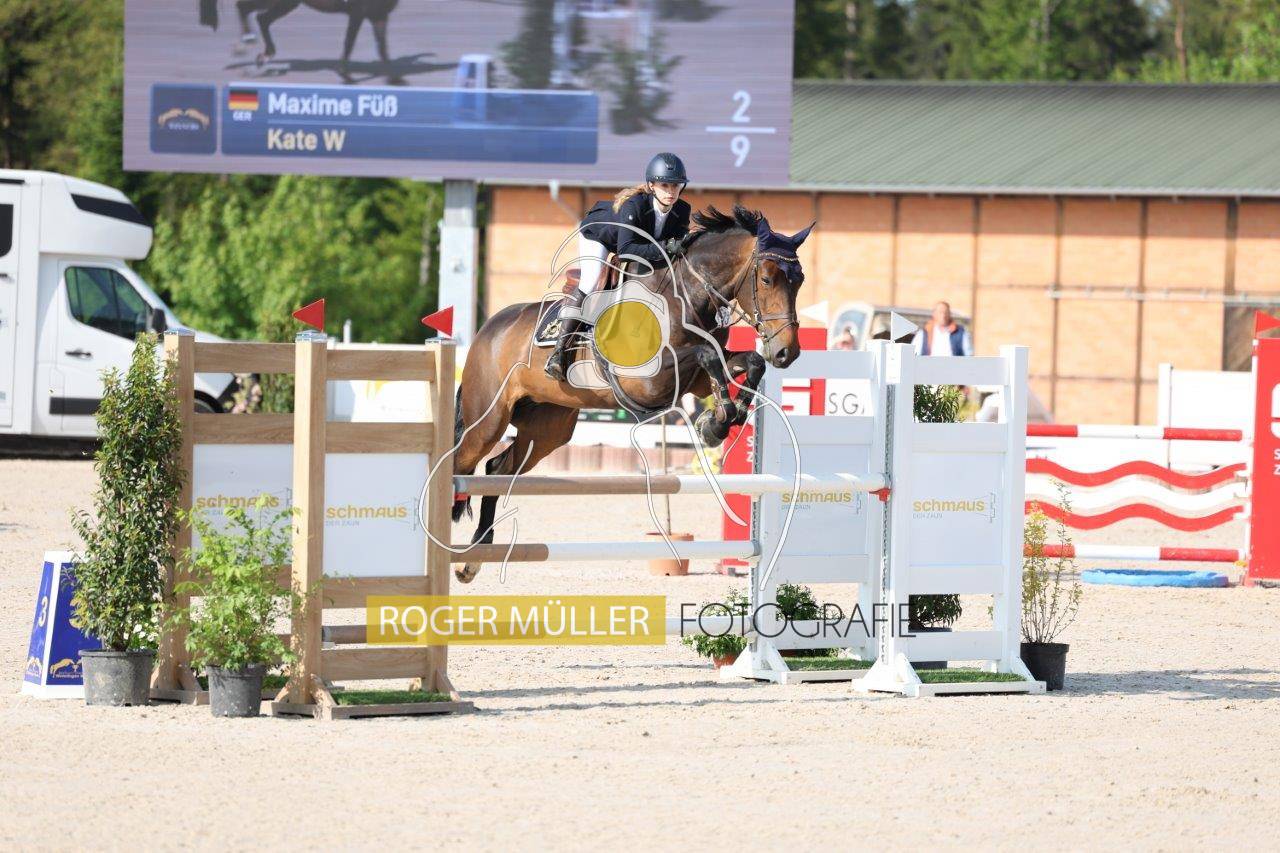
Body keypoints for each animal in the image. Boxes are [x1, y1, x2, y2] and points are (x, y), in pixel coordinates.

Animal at [235, 0, 400, 82]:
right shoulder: (358, 12)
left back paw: (265, 56)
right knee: (243, 7)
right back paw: (246, 41)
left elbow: (382, 47)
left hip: (286, 4)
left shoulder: (379, 15)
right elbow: (349, 42)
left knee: (262, 19)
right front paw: (345, 76)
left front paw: (395, 80)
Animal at [450, 205, 814, 583]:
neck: (684, 297)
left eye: (799, 280)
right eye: (767, 279)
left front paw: (722, 420)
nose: (787, 352)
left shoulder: (697, 380)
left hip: (546, 429)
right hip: (488, 420)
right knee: (461, 464)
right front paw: (718, 420)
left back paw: (475, 555)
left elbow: (748, 362)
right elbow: (707, 355)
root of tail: (487, 330)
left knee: (496, 469)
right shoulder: (645, 380)